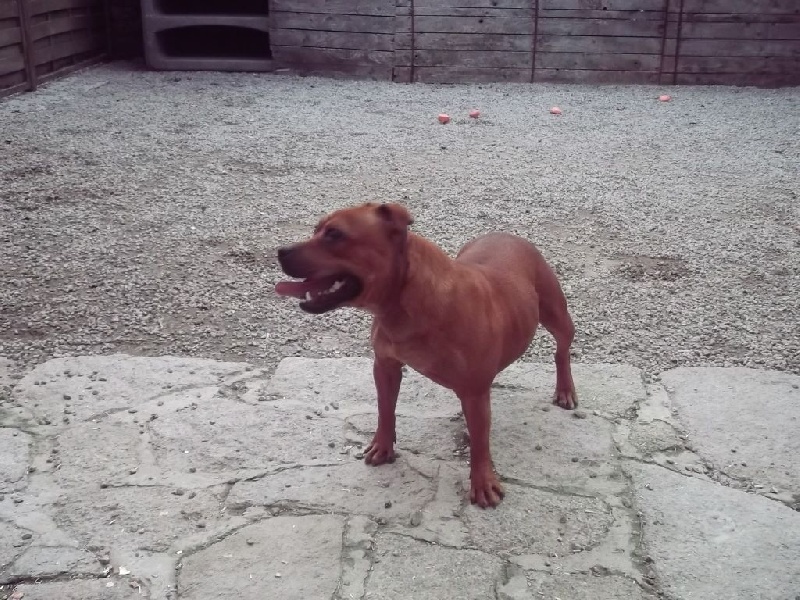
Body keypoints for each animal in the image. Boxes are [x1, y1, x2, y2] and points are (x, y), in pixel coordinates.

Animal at [276, 204, 576, 508]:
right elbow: (385, 409)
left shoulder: (475, 391)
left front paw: (482, 481)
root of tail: (509, 236)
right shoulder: (385, 366)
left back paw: (565, 390)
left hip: (556, 316)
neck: (404, 303)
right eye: (316, 229)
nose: (281, 250)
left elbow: (480, 441)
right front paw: (383, 446)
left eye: (335, 234)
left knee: (562, 350)